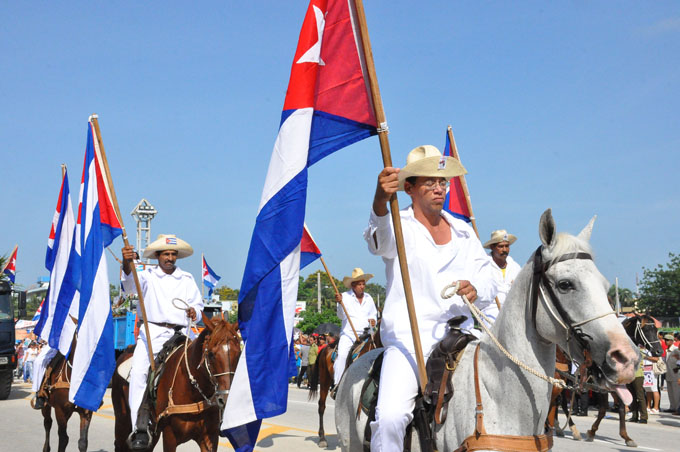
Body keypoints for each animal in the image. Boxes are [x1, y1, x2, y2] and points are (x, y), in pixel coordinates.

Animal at [111, 316, 239, 450]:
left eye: (239, 353)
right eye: (211, 354)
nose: (227, 398)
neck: (193, 392)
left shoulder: (209, 438)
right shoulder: (170, 436)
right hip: (122, 420)